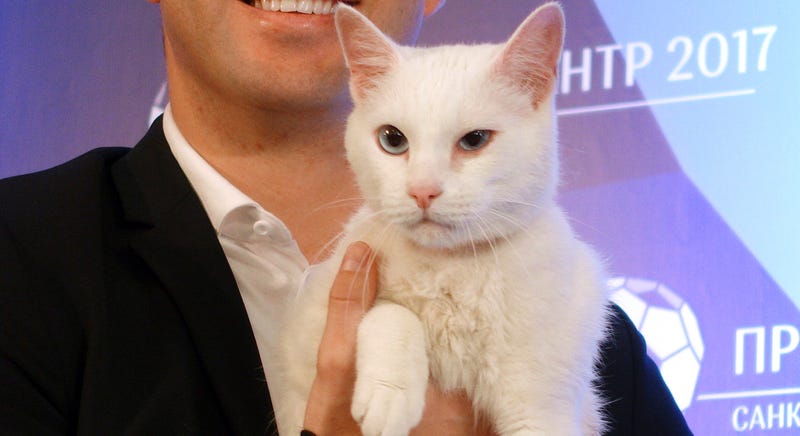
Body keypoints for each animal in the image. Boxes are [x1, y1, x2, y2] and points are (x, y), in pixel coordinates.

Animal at [276, 3, 608, 436]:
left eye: (475, 140)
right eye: (392, 140)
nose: (422, 191)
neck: (449, 272)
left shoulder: (542, 405)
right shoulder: (306, 338)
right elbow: (393, 312)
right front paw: (389, 390)